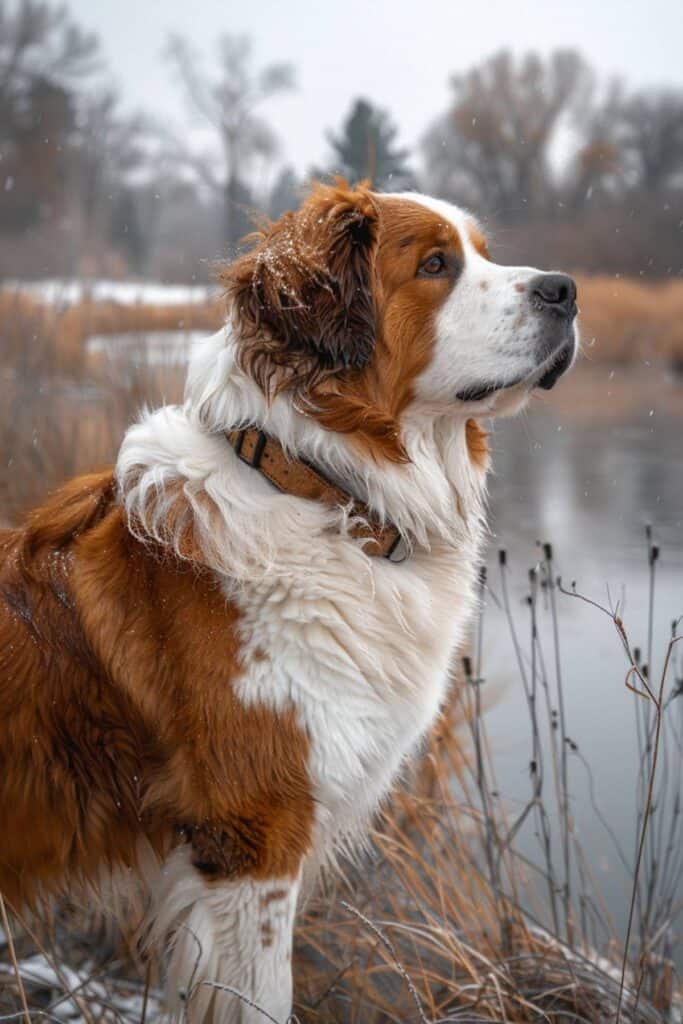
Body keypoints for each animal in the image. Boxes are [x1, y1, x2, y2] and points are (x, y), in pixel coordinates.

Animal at [0, 180, 577, 1019]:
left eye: (483, 253)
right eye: (434, 265)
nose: (565, 290)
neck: (323, 492)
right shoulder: (254, 836)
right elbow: (264, 994)